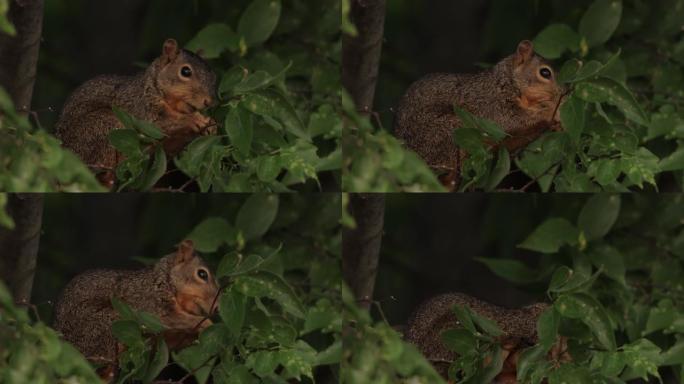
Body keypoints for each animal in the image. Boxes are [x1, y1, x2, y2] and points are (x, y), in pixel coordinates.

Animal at [53, 240, 219, 372]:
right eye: (202, 274)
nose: (217, 307)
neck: (164, 281)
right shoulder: (149, 305)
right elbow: (171, 319)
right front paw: (208, 324)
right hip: (102, 325)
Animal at [56, 38, 218, 187]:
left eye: (212, 72)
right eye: (185, 71)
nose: (209, 101)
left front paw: (210, 123)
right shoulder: (141, 109)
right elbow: (160, 124)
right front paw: (195, 119)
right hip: (100, 127)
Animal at [392, 40, 564, 189]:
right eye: (545, 72)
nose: (561, 91)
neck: (506, 81)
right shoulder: (491, 105)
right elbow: (511, 121)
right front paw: (554, 111)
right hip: (444, 132)